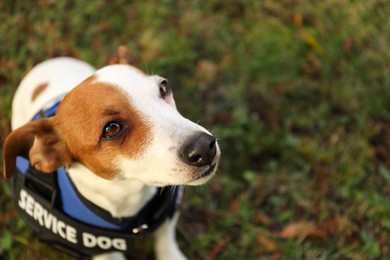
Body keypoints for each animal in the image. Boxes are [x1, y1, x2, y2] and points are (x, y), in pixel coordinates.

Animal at [3, 53, 221, 260]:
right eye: (111, 128)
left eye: (163, 87)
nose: (204, 147)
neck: (131, 195)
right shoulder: (102, 249)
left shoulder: (168, 214)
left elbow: (165, 239)